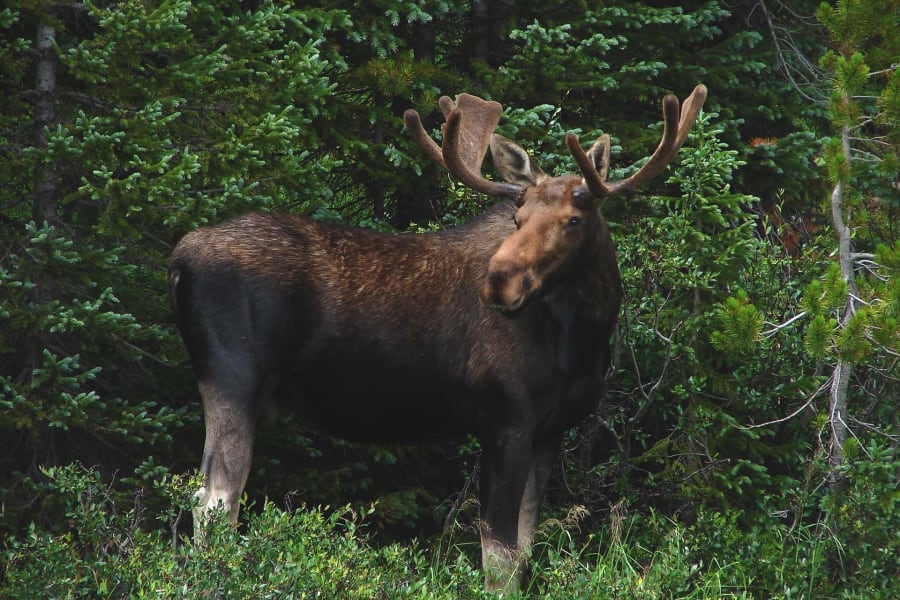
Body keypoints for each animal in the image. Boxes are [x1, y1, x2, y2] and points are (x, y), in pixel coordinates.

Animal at [168, 84, 707, 594]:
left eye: (572, 221)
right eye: (516, 218)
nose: (501, 279)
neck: (583, 339)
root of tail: (178, 258)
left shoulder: (550, 431)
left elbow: (525, 547)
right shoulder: (505, 420)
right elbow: (499, 558)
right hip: (234, 378)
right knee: (213, 503)